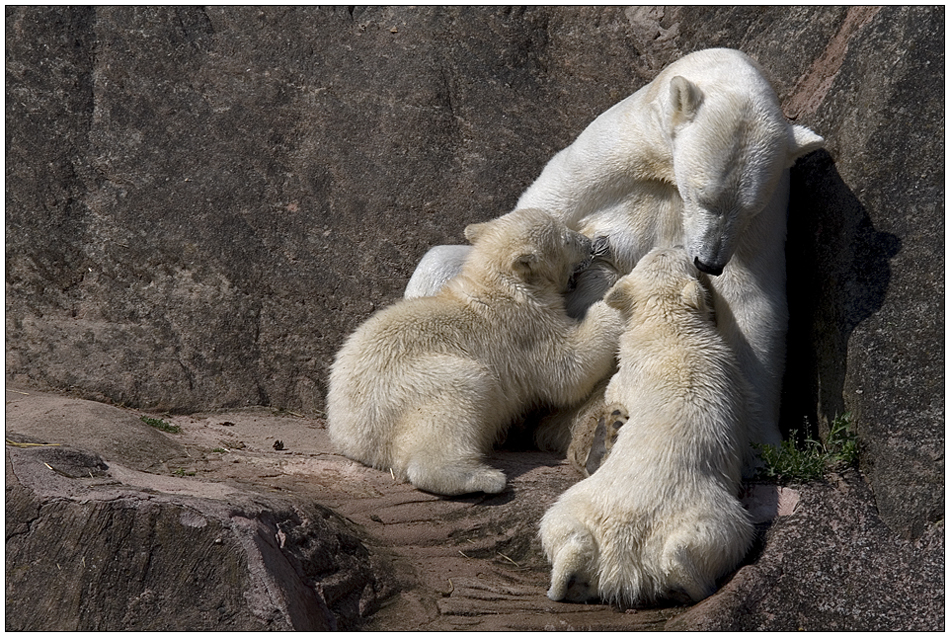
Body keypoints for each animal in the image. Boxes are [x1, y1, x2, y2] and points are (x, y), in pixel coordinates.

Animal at [328, 209, 624, 496]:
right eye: (567, 239)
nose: (590, 243)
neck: (499, 284)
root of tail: (351, 437)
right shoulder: (524, 328)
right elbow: (569, 371)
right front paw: (615, 296)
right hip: (411, 386)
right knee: (461, 395)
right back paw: (483, 478)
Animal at [410, 48, 824, 448]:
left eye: (749, 207)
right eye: (702, 196)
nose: (709, 262)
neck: (662, 168)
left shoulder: (770, 206)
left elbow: (751, 298)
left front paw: (762, 439)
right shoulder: (610, 156)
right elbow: (538, 214)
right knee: (439, 262)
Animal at [540, 245, 756, 608]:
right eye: (668, 254)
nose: (677, 246)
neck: (668, 328)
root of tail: (624, 560)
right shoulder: (725, 371)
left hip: (581, 510)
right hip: (706, 515)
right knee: (723, 538)